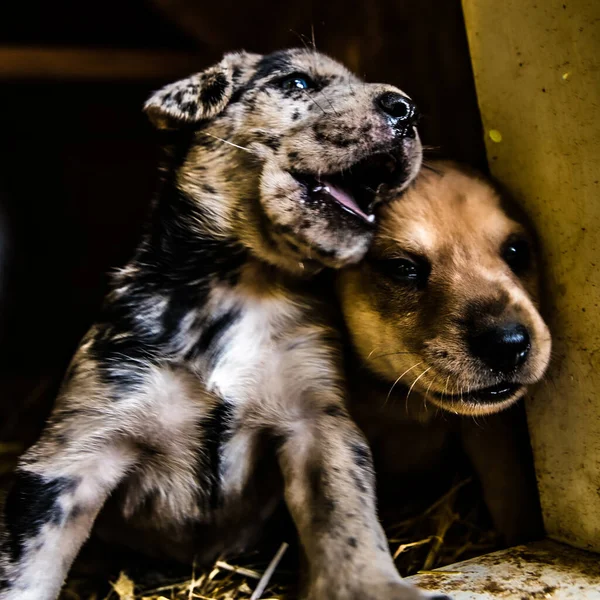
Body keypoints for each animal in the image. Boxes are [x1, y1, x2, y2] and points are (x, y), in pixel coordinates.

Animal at [0, 50, 446, 600]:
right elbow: (28, 567)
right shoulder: (76, 449)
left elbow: (349, 521)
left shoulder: (319, 424)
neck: (241, 286)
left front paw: (376, 587)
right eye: (297, 82)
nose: (407, 110)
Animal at [338, 162, 552, 548]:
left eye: (516, 251)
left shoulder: (492, 435)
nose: (507, 343)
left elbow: (510, 494)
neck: (407, 406)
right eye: (403, 268)